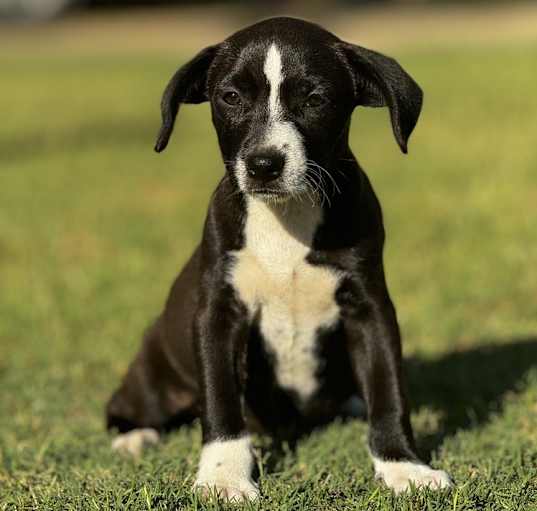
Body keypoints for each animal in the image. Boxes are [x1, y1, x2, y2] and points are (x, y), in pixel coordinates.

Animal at [108, 15, 452, 500]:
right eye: (231, 97)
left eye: (315, 99)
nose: (263, 164)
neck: (286, 216)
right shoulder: (218, 314)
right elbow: (221, 401)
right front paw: (223, 476)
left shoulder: (370, 309)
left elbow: (388, 389)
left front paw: (404, 465)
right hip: (153, 370)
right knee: (125, 406)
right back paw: (134, 436)